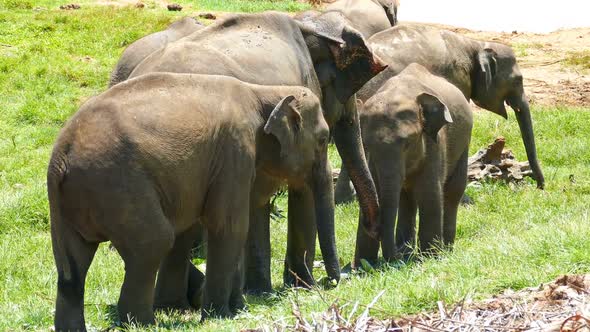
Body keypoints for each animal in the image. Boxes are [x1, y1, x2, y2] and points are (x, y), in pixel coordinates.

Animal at [47, 72, 332, 330]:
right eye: (324, 139)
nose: (332, 282)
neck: (263, 91)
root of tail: (60, 156)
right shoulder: (234, 151)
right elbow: (229, 225)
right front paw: (221, 317)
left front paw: (238, 310)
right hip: (118, 185)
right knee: (154, 242)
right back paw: (144, 324)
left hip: (73, 202)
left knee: (72, 268)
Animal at [131, 10, 388, 296]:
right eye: (323, 138)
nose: (340, 276)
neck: (306, 24)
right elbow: (301, 189)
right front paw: (301, 285)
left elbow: (258, 198)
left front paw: (261, 290)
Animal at [356, 63, 476, 266]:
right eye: (367, 144)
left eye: (408, 143)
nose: (395, 259)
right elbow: (375, 192)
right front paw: (362, 266)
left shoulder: (434, 142)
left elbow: (429, 194)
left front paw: (430, 259)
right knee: (407, 199)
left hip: (464, 143)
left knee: (452, 192)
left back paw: (444, 249)